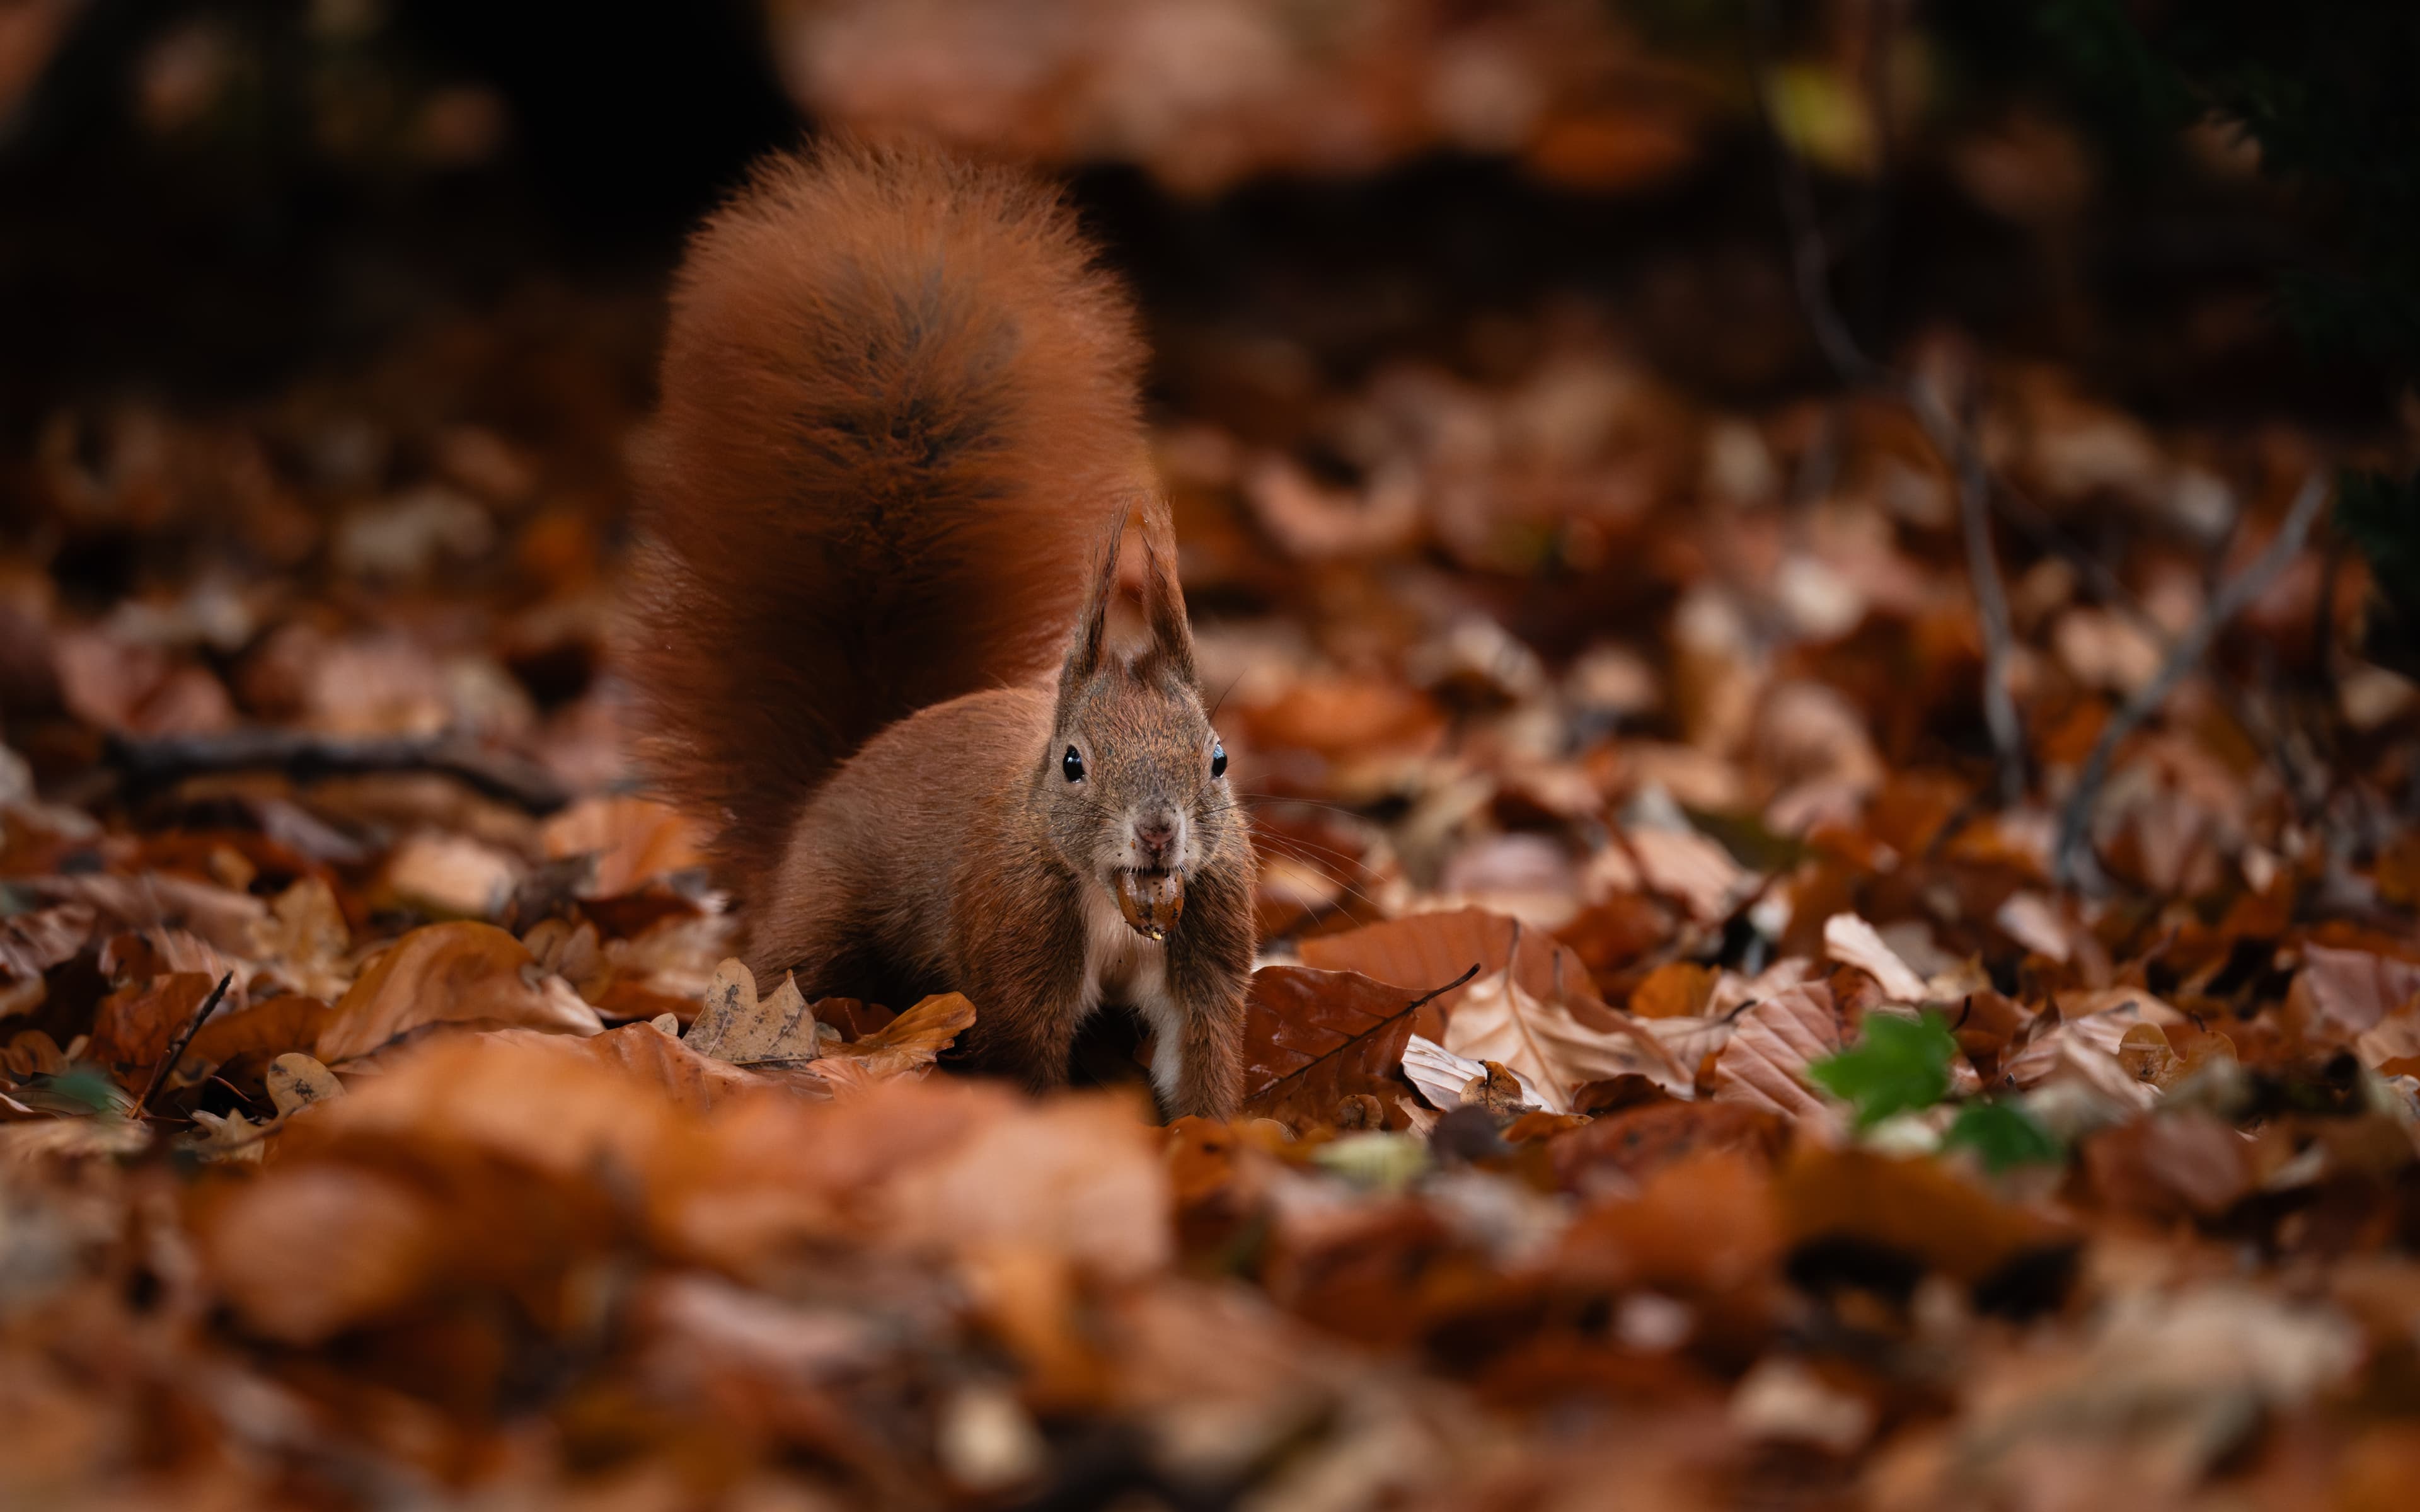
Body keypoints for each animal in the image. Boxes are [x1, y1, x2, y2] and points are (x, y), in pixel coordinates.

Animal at [622, 140, 1256, 1120]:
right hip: (823, 925)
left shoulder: (1210, 950)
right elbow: (1023, 1052)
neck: (1121, 901)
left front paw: (1214, 1140)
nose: (1159, 834)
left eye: (1218, 760)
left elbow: (1207, 1057)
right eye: (1072, 763)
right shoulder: (1014, 943)